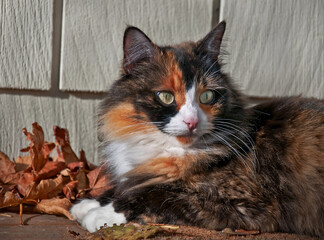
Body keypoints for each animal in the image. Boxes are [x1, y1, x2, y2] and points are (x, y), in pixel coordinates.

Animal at [70, 21, 324, 236]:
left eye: (207, 96)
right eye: (165, 96)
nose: (191, 121)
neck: (166, 148)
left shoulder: (241, 201)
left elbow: (157, 195)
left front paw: (100, 213)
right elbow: (127, 186)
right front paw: (87, 203)